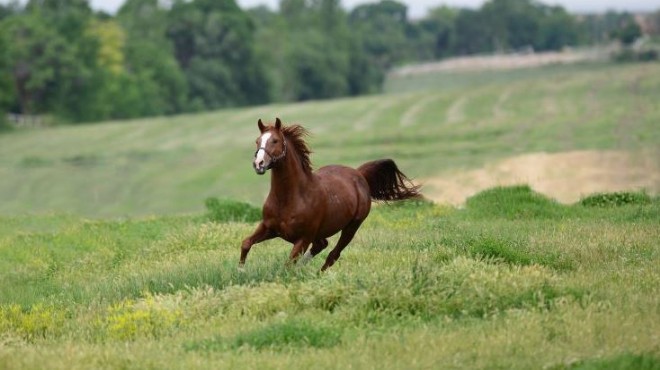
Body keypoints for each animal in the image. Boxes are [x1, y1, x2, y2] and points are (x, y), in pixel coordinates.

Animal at [240, 118, 420, 272]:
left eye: (275, 141)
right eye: (257, 141)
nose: (259, 164)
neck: (289, 198)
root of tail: (359, 174)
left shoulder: (303, 238)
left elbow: (288, 264)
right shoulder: (269, 227)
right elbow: (246, 243)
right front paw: (240, 271)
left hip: (352, 227)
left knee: (333, 254)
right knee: (321, 245)